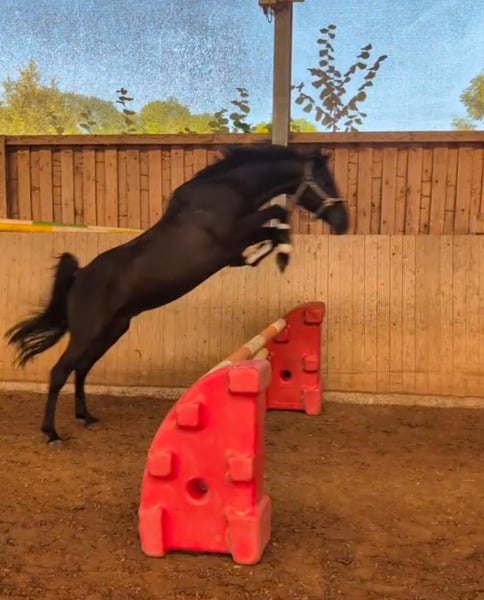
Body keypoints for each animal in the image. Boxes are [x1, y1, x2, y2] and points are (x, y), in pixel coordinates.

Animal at [5, 143, 349, 444]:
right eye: (326, 180)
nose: (343, 223)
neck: (225, 193)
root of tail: (78, 277)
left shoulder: (233, 250)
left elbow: (272, 227)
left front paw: (270, 254)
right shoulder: (231, 240)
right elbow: (276, 214)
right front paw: (280, 256)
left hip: (112, 330)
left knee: (81, 369)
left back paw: (85, 417)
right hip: (89, 332)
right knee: (60, 371)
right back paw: (52, 434)